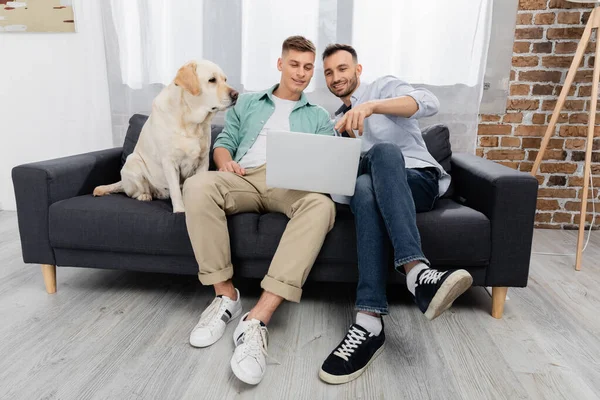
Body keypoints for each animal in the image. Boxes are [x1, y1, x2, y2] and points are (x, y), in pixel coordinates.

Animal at [92, 59, 238, 212]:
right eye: (212, 80)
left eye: (225, 80)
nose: (236, 94)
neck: (190, 122)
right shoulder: (170, 162)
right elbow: (175, 191)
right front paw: (180, 210)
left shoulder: (203, 161)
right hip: (133, 160)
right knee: (134, 192)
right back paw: (144, 195)